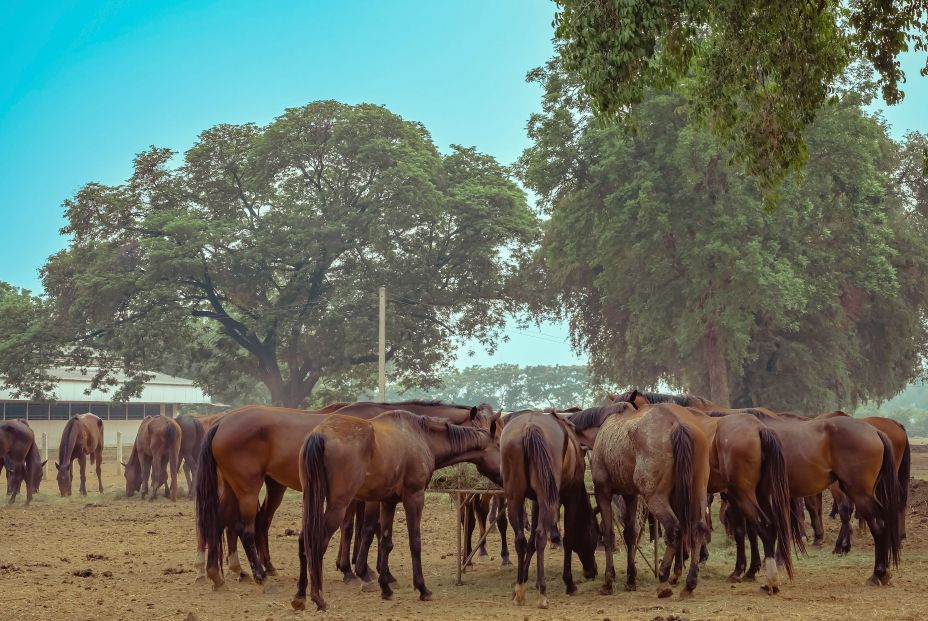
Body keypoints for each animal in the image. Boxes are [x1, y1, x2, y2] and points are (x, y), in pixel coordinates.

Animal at [195, 401, 498, 591]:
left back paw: (225, 572)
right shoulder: (366, 498)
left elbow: (359, 530)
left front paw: (357, 569)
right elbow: (364, 529)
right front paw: (359, 571)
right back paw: (253, 574)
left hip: (253, 487)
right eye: (488, 430)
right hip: (248, 487)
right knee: (242, 527)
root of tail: (221, 422)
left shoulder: (362, 497)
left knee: (227, 522)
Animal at [292, 409, 501, 611]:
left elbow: (386, 542)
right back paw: (318, 598)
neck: (422, 437)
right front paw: (422, 588)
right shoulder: (414, 498)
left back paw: (301, 595)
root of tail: (320, 434)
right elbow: (414, 542)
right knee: (316, 543)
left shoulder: (388, 502)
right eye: (499, 445)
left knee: (304, 541)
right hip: (339, 505)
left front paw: (385, 588)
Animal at [500, 409, 598, 609]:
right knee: (541, 536)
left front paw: (525, 580)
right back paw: (542, 594)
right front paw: (569, 583)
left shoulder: (536, 502)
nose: (592, 571)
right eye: (594, 536)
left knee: (521, 539)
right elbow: (568, 538)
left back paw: (520, 589)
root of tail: (530, 426)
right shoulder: (570, 496)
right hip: (546, 499)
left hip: (515, 497)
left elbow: (530, 542)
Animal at [579, 400, 711, 598]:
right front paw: (631, 580)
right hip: (697, 493)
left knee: (674, 528)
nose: (589, 572)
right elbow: (630, 534)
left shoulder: (603, 492)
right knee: (698, 529)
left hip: (656, 498)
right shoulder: (630, 495)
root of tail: (678, 424)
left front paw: (608, 582)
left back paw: (663, 578)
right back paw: (689, 583)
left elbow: (609, 534)